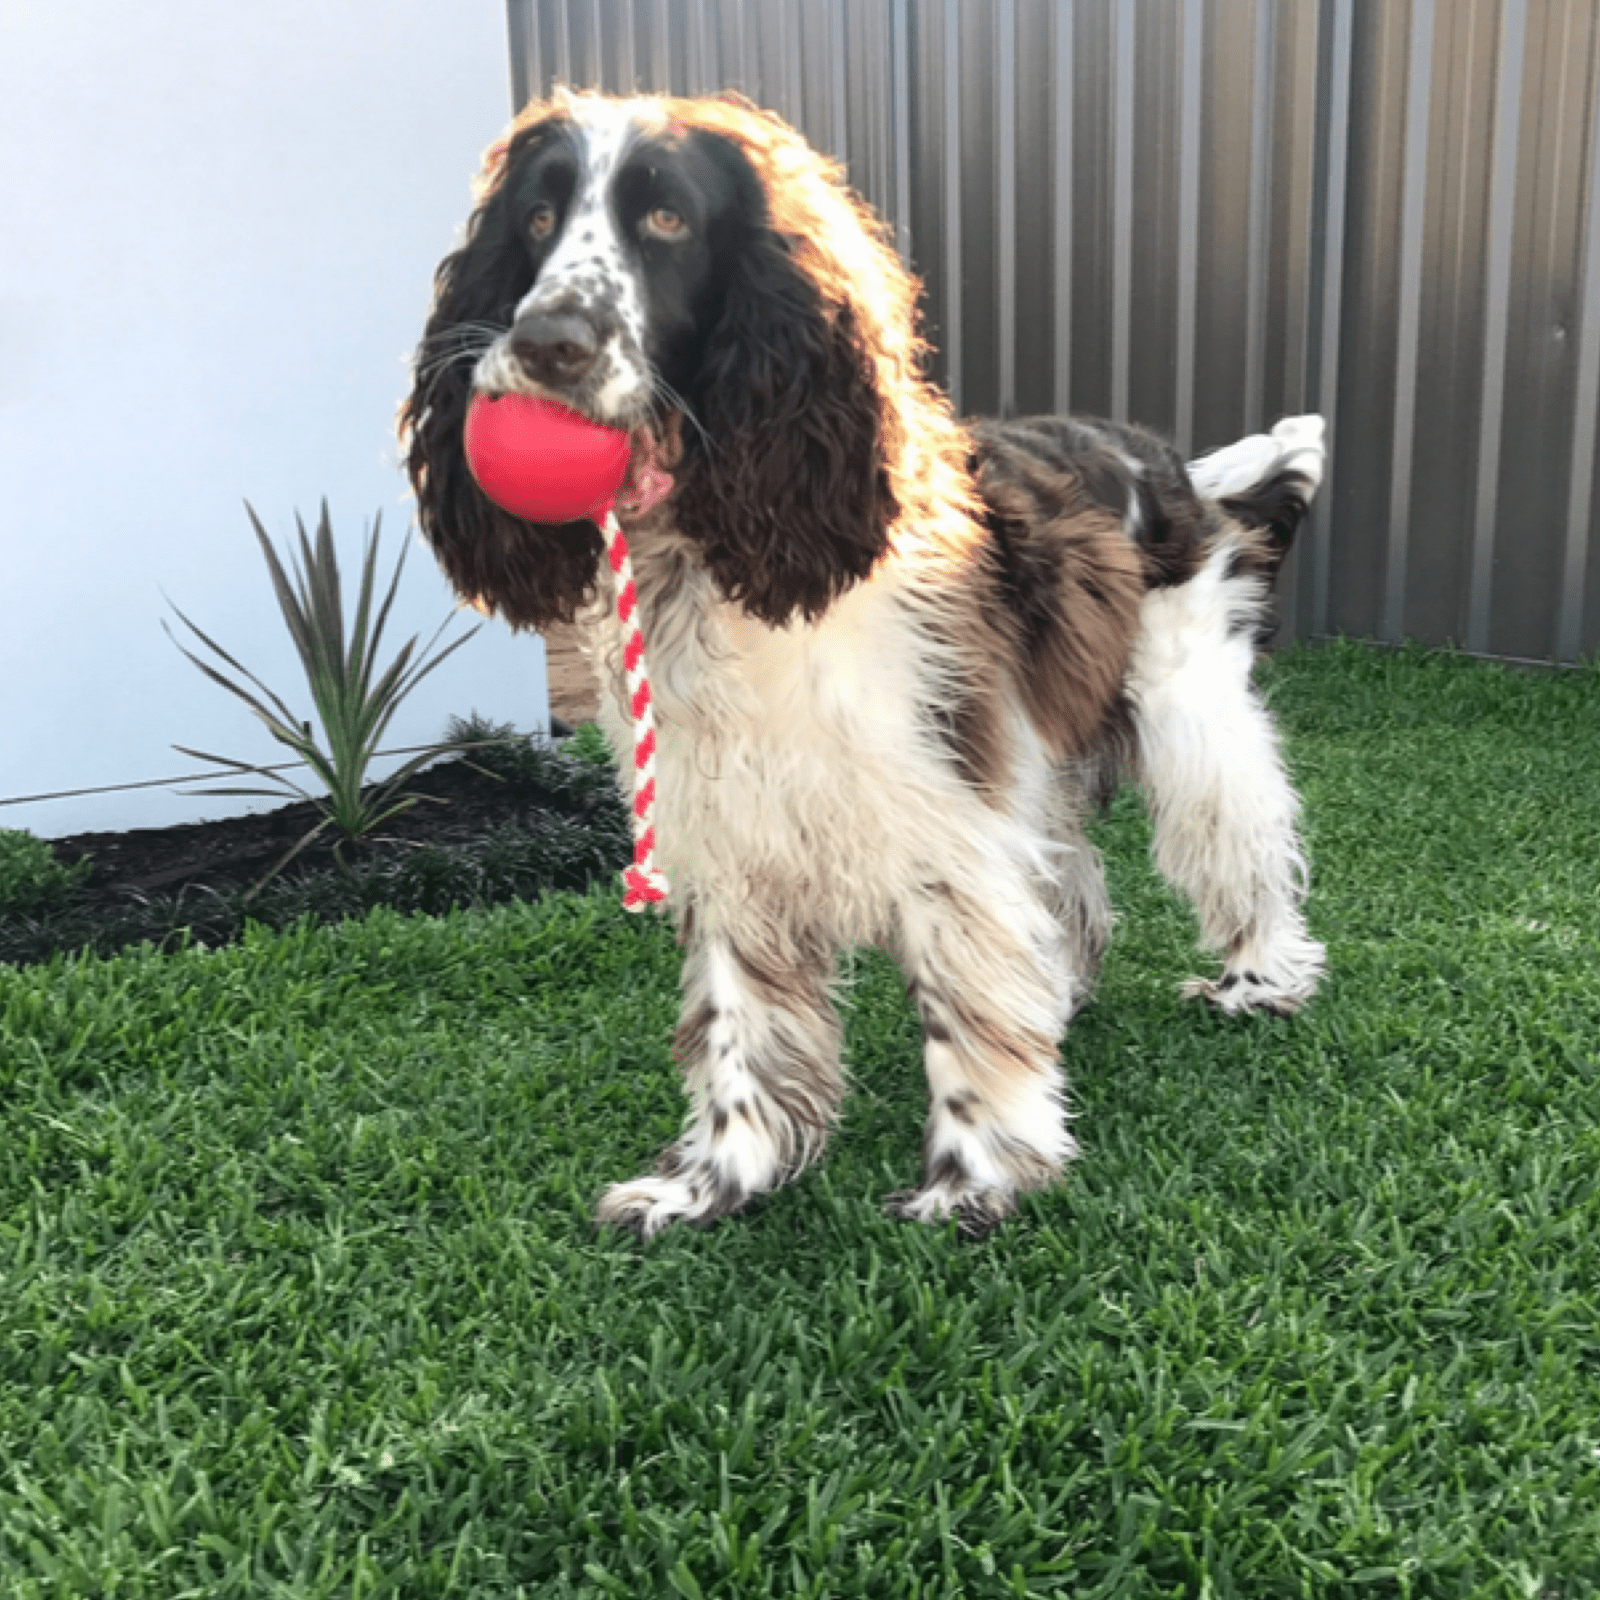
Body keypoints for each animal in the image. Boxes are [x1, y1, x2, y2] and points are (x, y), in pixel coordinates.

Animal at [400, 90, 1324, 1235]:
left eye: (667, 220)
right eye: (534, 219)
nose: (544, 343)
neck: (717, 558)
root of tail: (1169, 462)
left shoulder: (943, 812)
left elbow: (964, 1014)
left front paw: (974, 1181)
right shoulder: (730, 821)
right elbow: (739, 1029)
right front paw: (714, 1181)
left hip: (1186, 709)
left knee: (1241, 845)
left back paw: (1261, 981)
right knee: (1070, 875)